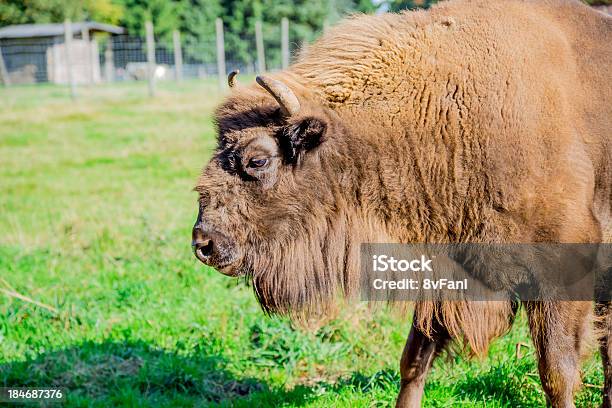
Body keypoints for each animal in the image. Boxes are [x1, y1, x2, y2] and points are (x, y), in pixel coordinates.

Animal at [192, 1, 612, 406]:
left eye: (257, 160)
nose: (203, 244)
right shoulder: (442, 270)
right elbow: (414, 360)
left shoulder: (562, 276)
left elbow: (557, 372)